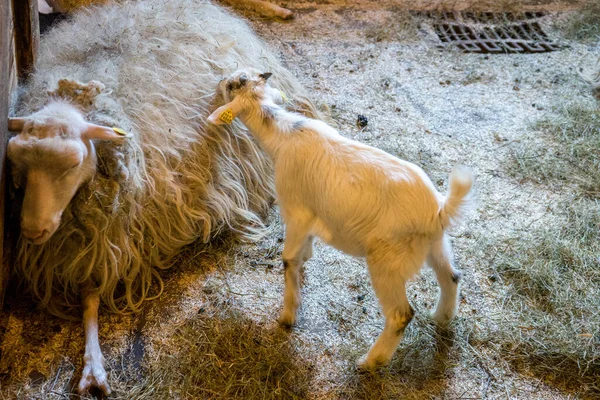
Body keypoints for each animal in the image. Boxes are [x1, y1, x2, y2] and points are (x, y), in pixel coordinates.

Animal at [7, 0, 322, 394]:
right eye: (18, 162)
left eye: (74, 162)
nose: (32, 230)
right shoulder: (91, 243)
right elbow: (88, 297)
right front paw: (92, 366)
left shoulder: (118, 237)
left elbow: (94, 291)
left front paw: (95, 367)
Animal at [209, 69, 476, 368]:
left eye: (232, 85)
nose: (219, 81)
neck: (284, 134)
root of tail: (438, 209)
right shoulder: (312, 213)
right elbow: (303, 250)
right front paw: (307, 258)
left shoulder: (296, 210)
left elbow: (288, 259)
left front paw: (288, 316)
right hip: (436, 245)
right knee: (452, 277)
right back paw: (441, 318)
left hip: (388, 261)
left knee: (401, 314)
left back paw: (370, 362)